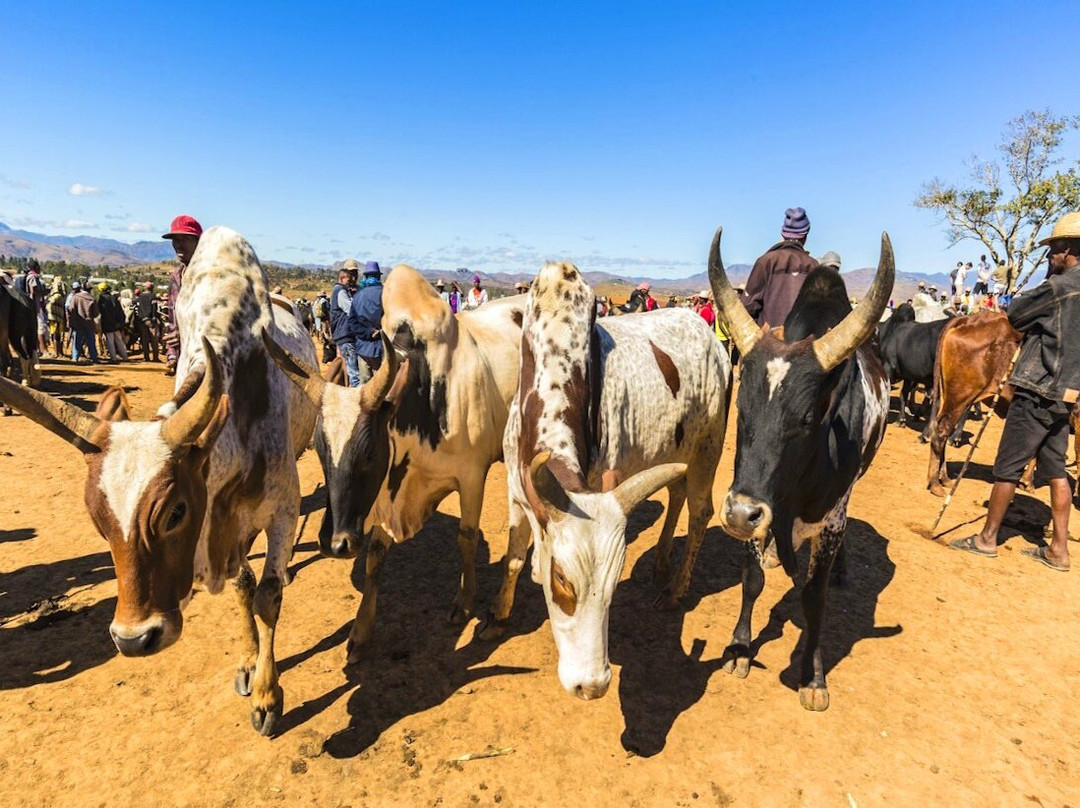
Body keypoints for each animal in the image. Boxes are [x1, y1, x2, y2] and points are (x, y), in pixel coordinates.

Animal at [0, 225, 315, 730]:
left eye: (175, 512)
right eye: (97, 520)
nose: (133, 639)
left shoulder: (283, 509)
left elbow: (267, 596)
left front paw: (268, 696)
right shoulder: (228, 526)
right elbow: (244, 588)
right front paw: (249, 664)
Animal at [265, 264, 527, 661]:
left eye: (369, 453)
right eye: (321, 452)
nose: (335, 543)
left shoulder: (472, 477)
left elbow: (466, 538)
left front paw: (464, 603)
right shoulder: (388, 493)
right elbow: (375, 557)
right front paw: (360, 633)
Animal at [492, 262, 730, 695]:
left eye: (614, 583)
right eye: (561, 579)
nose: (593, 685)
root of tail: (707, 330)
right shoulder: (516, 493)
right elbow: (514, 560)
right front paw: (498, 614)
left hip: (709, 449)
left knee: (700, 511)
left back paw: (675, 589)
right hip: (676, 452)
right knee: (677, 495)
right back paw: (661, 560)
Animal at [704, 223, 889, 708]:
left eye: (806, 419)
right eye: (741, 408)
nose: (738, 514)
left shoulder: (829, 521)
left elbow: (813, 599)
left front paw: (813, 676)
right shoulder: (757, 504)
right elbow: (751, 579)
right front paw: (739, 648)